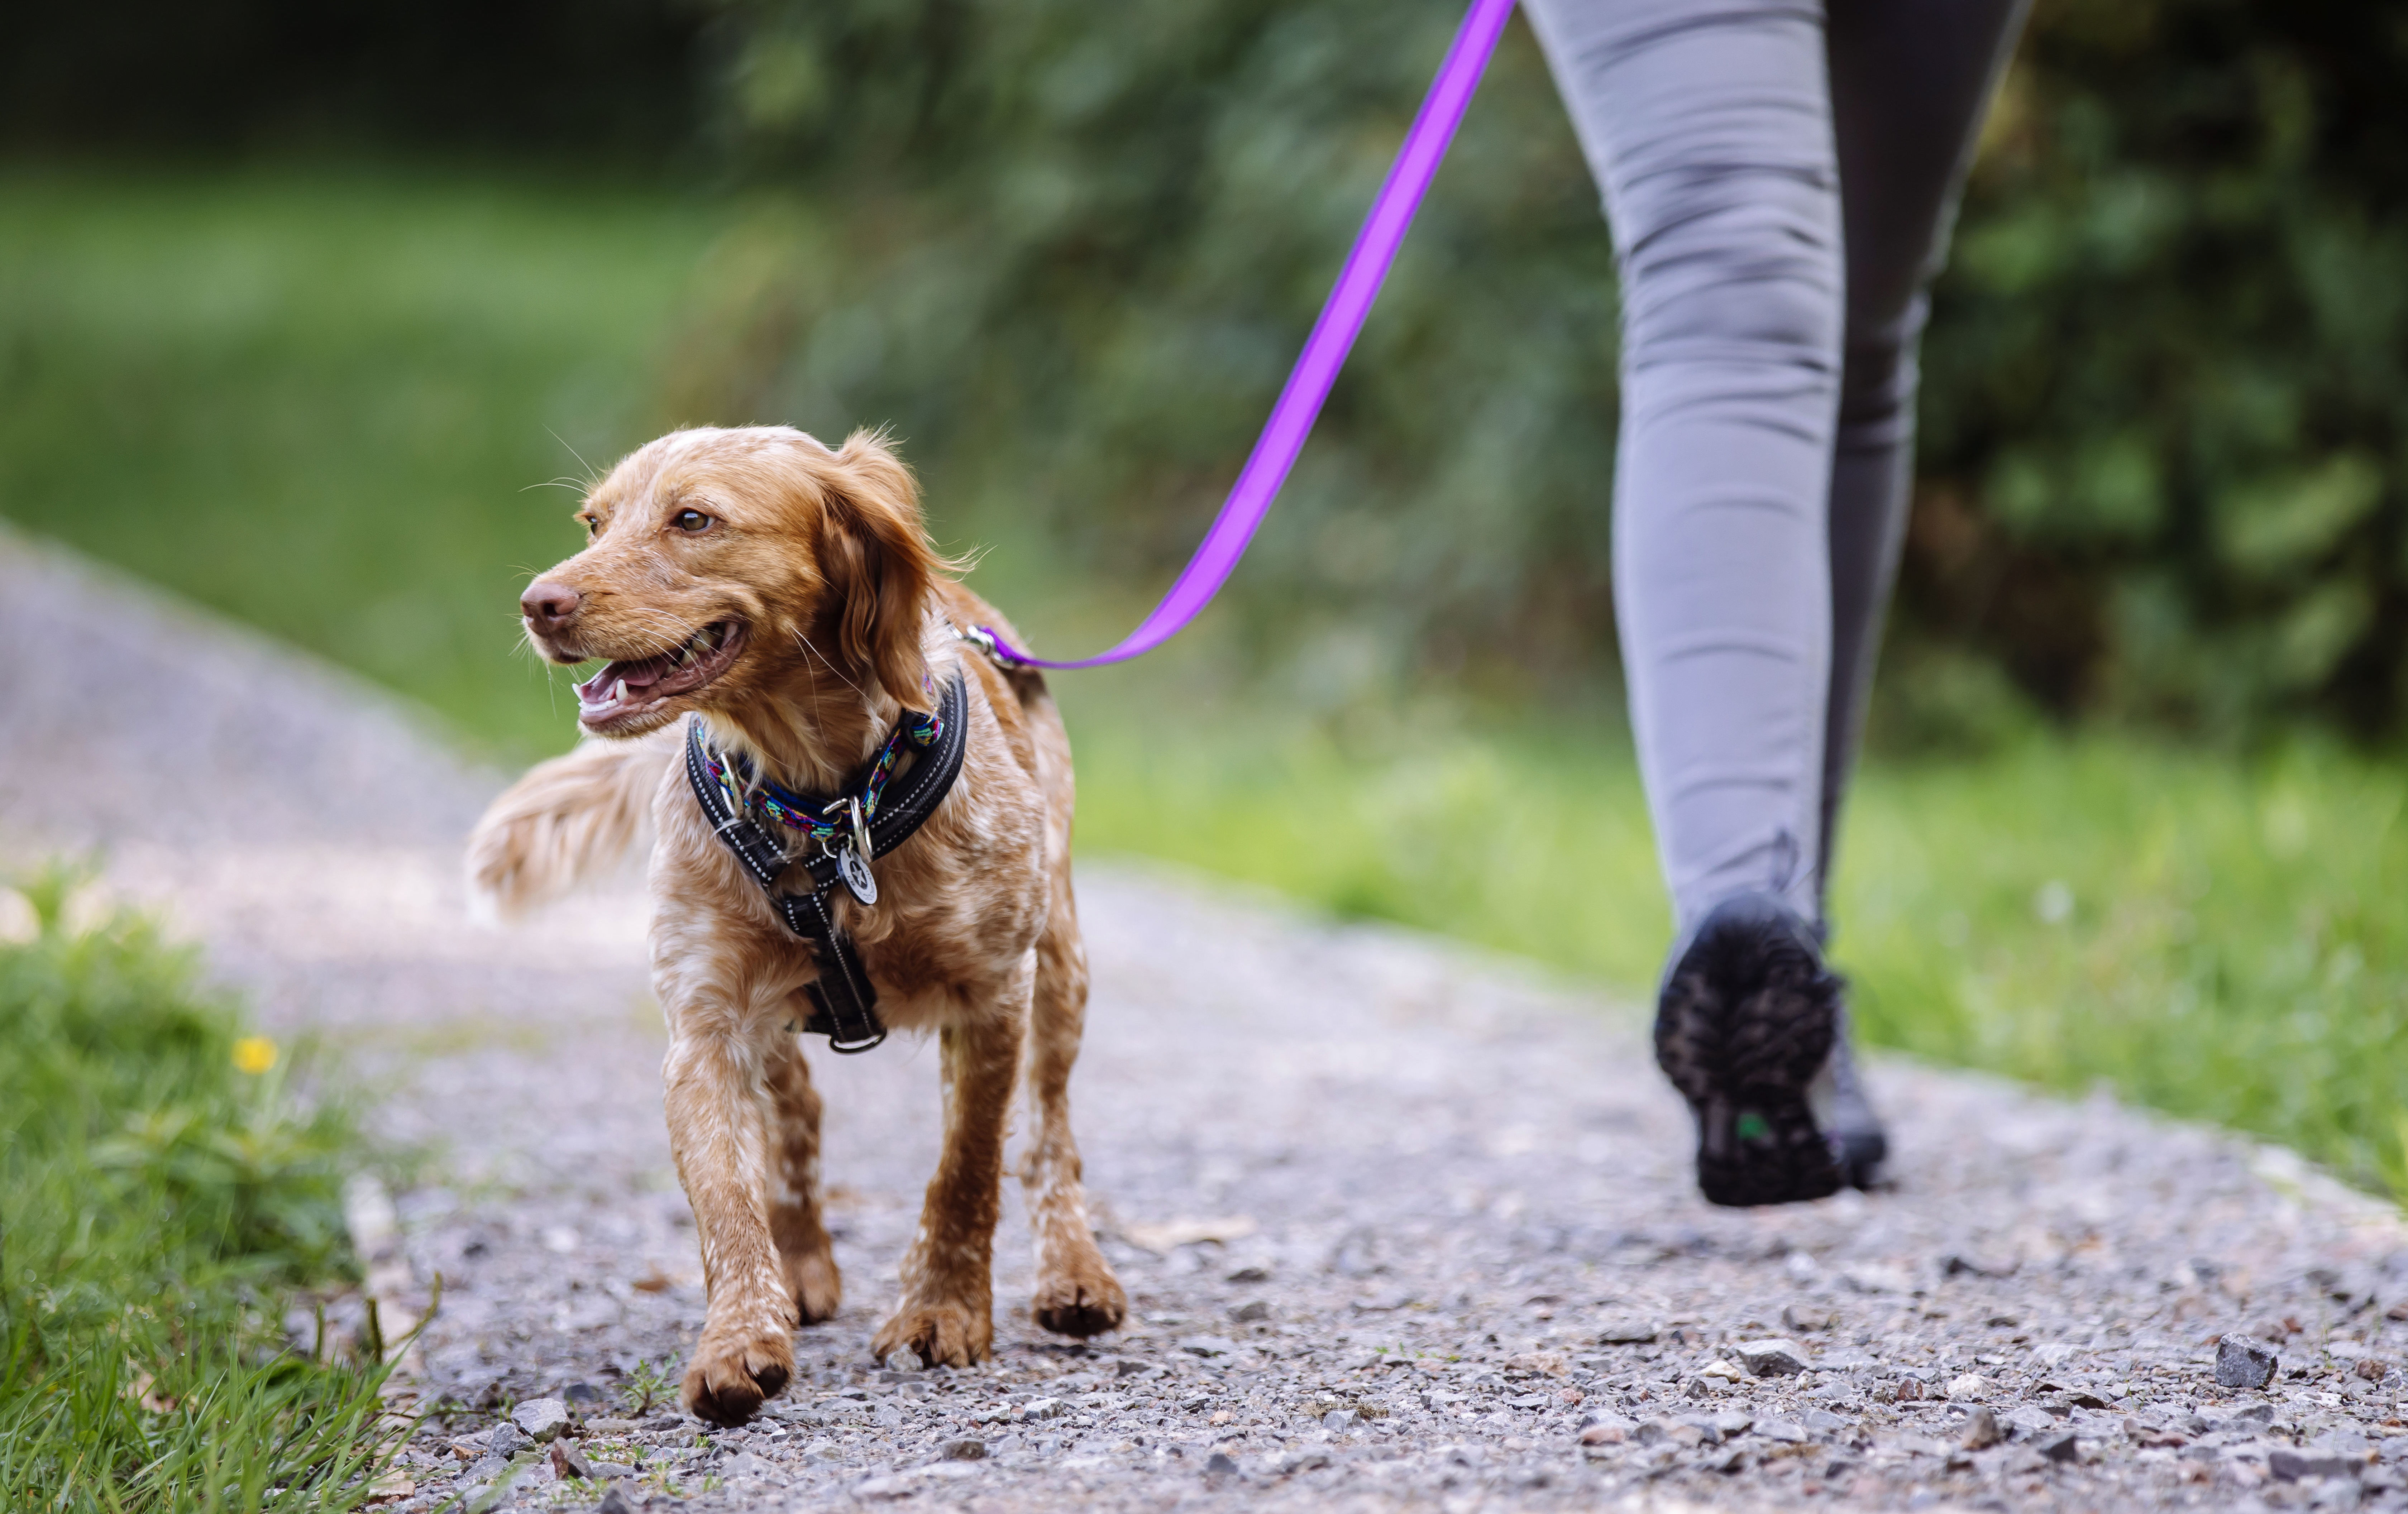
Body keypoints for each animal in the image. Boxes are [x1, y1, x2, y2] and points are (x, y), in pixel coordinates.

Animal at [467, 421, 1127, 1415]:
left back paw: (1074, 1272)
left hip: (1063, 965)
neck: (822, 803)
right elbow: (726, 1202)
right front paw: (740, 1338)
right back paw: (805, 1263)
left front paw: (942, 1310)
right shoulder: (703, 1025)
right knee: (798, 1107)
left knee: (1052, 1135)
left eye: (694, 519)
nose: (539, 602)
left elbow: (966, 1167)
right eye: (594, 521)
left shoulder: (993, 996)